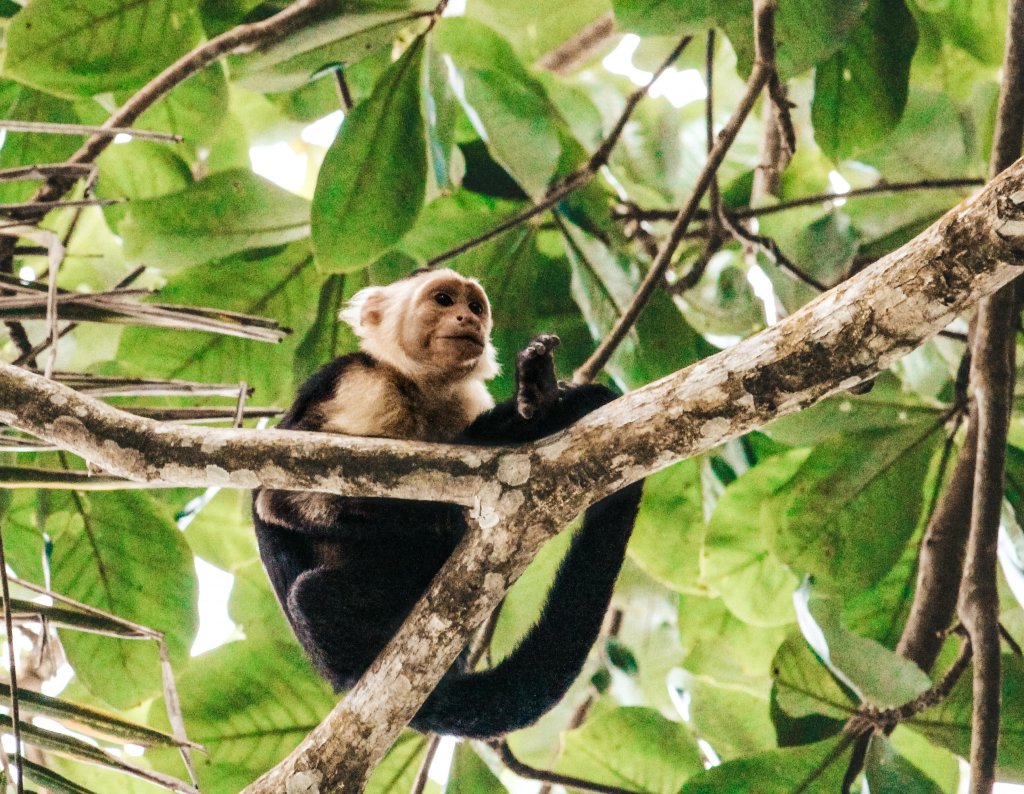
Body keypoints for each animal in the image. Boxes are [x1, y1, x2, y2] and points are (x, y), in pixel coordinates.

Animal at [252, 268, 643, 737]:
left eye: (474, 307)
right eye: (442, 299)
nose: (466, 318)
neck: (418, 386)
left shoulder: (466, 401)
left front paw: (539, 398)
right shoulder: (357, 386)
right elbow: (281, 499)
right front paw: (443, 517)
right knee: (313, 595)